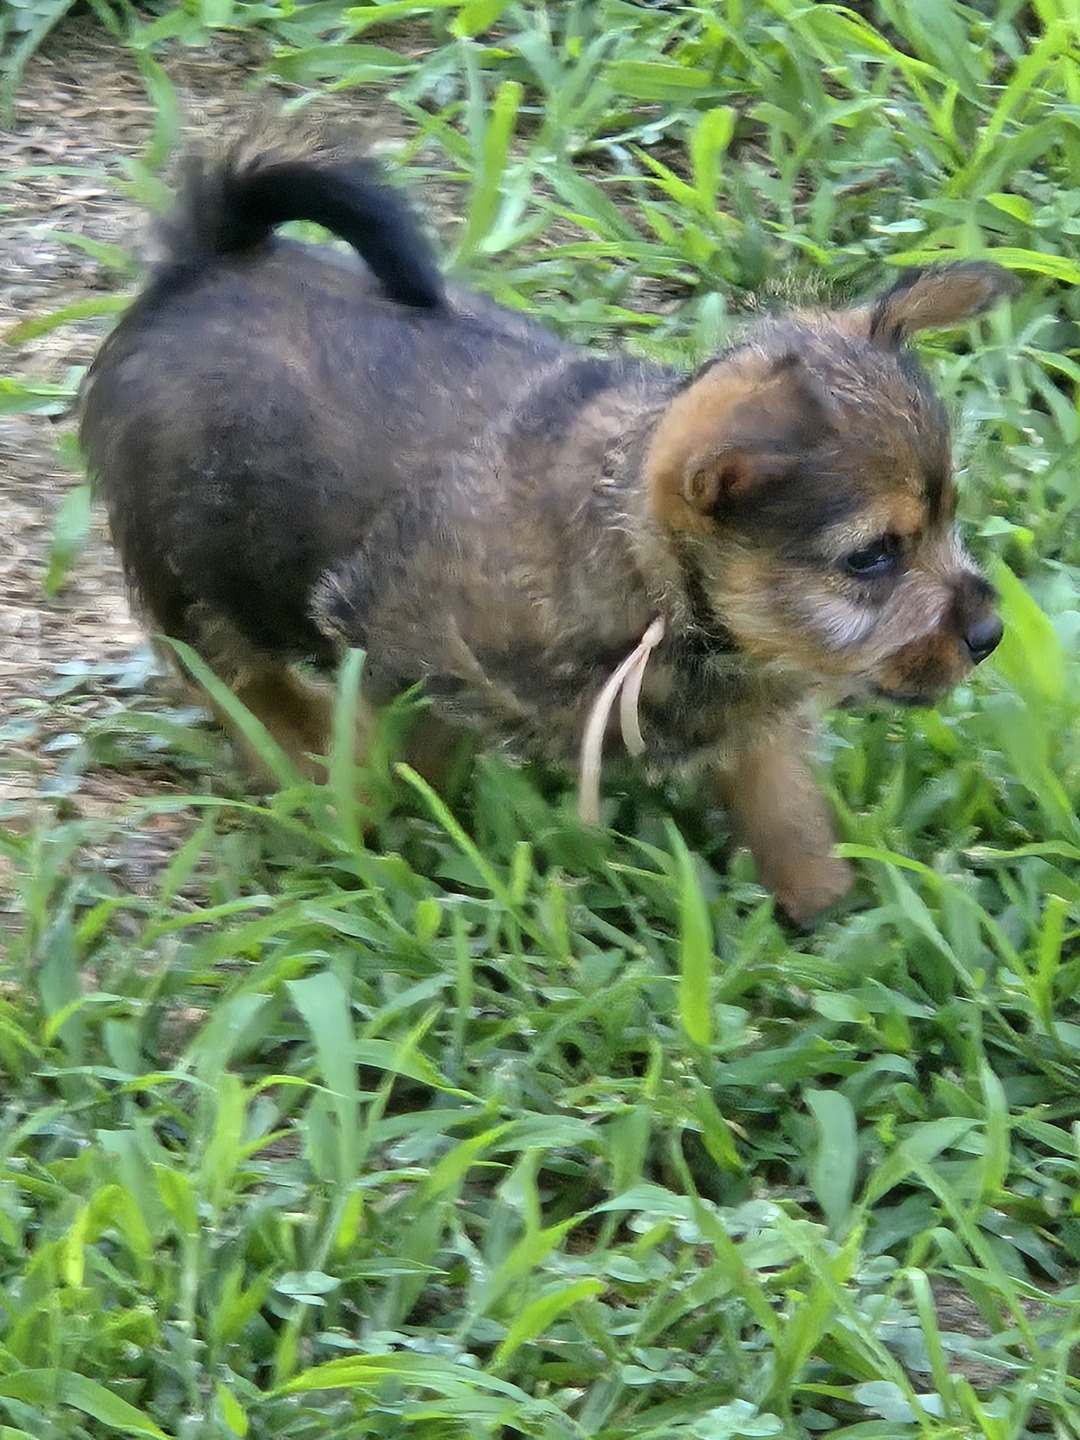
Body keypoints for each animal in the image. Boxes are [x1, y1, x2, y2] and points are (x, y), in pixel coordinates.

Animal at [78, 125, 1013, 923]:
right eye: (873, 557)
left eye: (946, 523)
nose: (992, 634)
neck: (653, 595)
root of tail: (204, 259)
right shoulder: (397, 660)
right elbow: (389, 775)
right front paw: (362, 848)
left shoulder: (758, 728)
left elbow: (788, 820)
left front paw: (827, 917)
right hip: (194, 574)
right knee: (231, 676)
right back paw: (293, 753)